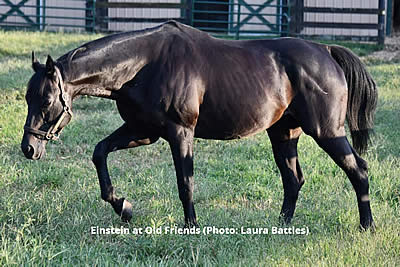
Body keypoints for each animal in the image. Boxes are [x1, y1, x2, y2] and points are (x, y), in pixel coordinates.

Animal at [21, 20, 378, 230]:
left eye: (47, 100)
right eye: (27, 98)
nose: (29, 148)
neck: (144, 64)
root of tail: (325, 50)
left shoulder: (180, 133)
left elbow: (185, 183)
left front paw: (190, 226)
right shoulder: (144, 132)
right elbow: (99, 152)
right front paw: (123, 206)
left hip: (327, 132)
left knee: (358, 170)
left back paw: (367, 226)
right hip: (283, 133)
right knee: (293, 180)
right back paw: (282, 226)